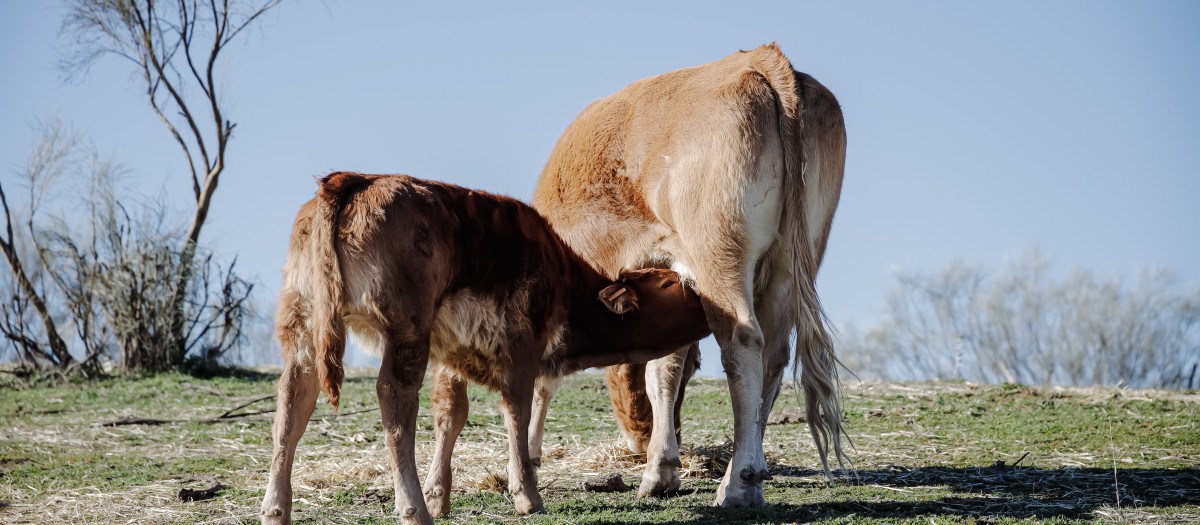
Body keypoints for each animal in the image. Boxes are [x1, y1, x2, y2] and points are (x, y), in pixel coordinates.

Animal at [259, 172, 710, 525]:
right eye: (668, 283)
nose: (701, 289)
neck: (565, 280)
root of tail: (353, 179)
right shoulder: (522, 346)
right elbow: (517, 411)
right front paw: (526, 493)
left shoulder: (452, 354)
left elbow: (451, 415)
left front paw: (440, 495)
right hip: (407, 329)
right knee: (395, 402)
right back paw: (413, 510)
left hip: (303, 327)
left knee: (291, 406)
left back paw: (275, 511)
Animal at [532, 43, 849, 506]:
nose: (639, 441)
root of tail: (763, 59)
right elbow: (666, 366)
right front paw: (662, 468)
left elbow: (547, 375)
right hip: (792, 262)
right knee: (773, 356)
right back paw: (739, 476)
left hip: (719, 254)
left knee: (743, 344)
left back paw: (739, 484)